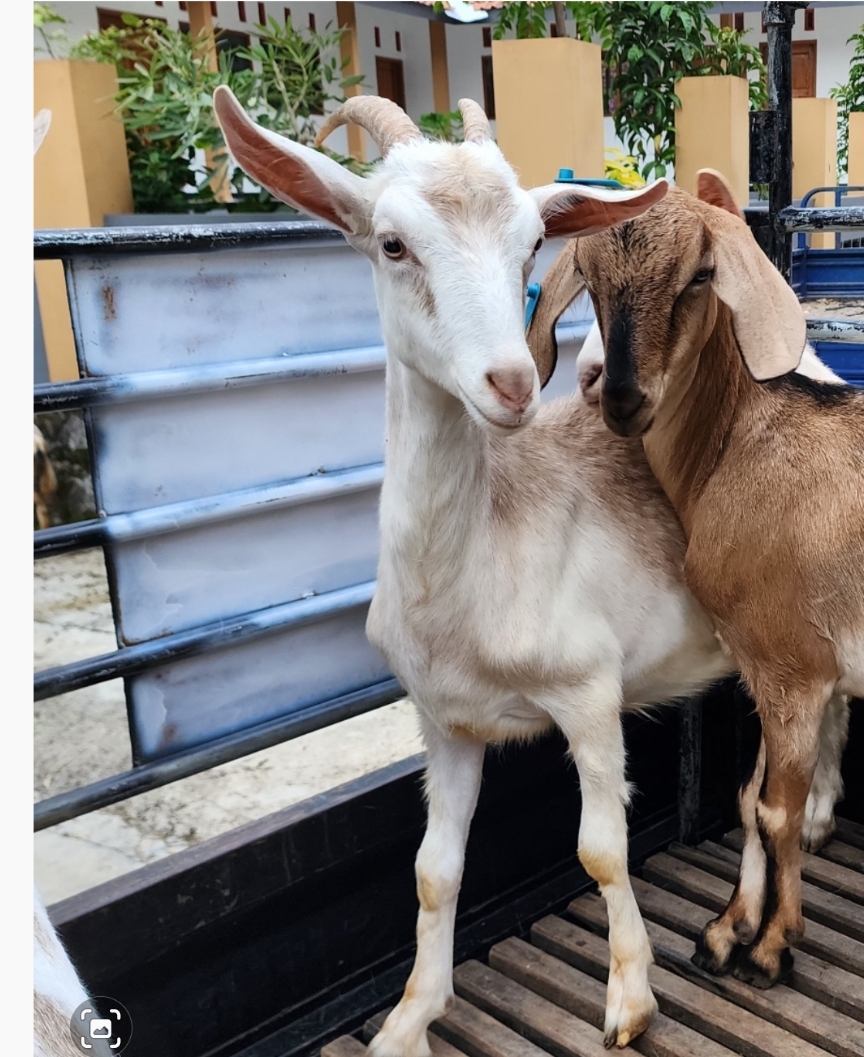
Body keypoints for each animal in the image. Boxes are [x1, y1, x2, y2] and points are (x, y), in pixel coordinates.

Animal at [214, 88, 741, 1051]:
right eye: (392, 243)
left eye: (532, 244)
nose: (511, 383)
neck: (478, 561)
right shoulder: (445, 721)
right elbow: (433, 868)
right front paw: (409, 1016)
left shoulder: (589, 689)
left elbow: (601, 848)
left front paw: (630, 999)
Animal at [545, 167, 863, 990]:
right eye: (587, 276)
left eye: (698, 275)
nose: (620, 394)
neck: (739, 446)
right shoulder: (760, 665)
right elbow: (750, 798)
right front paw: (726, 932)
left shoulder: (796, 669)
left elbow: (779, 810)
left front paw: (773, 947)